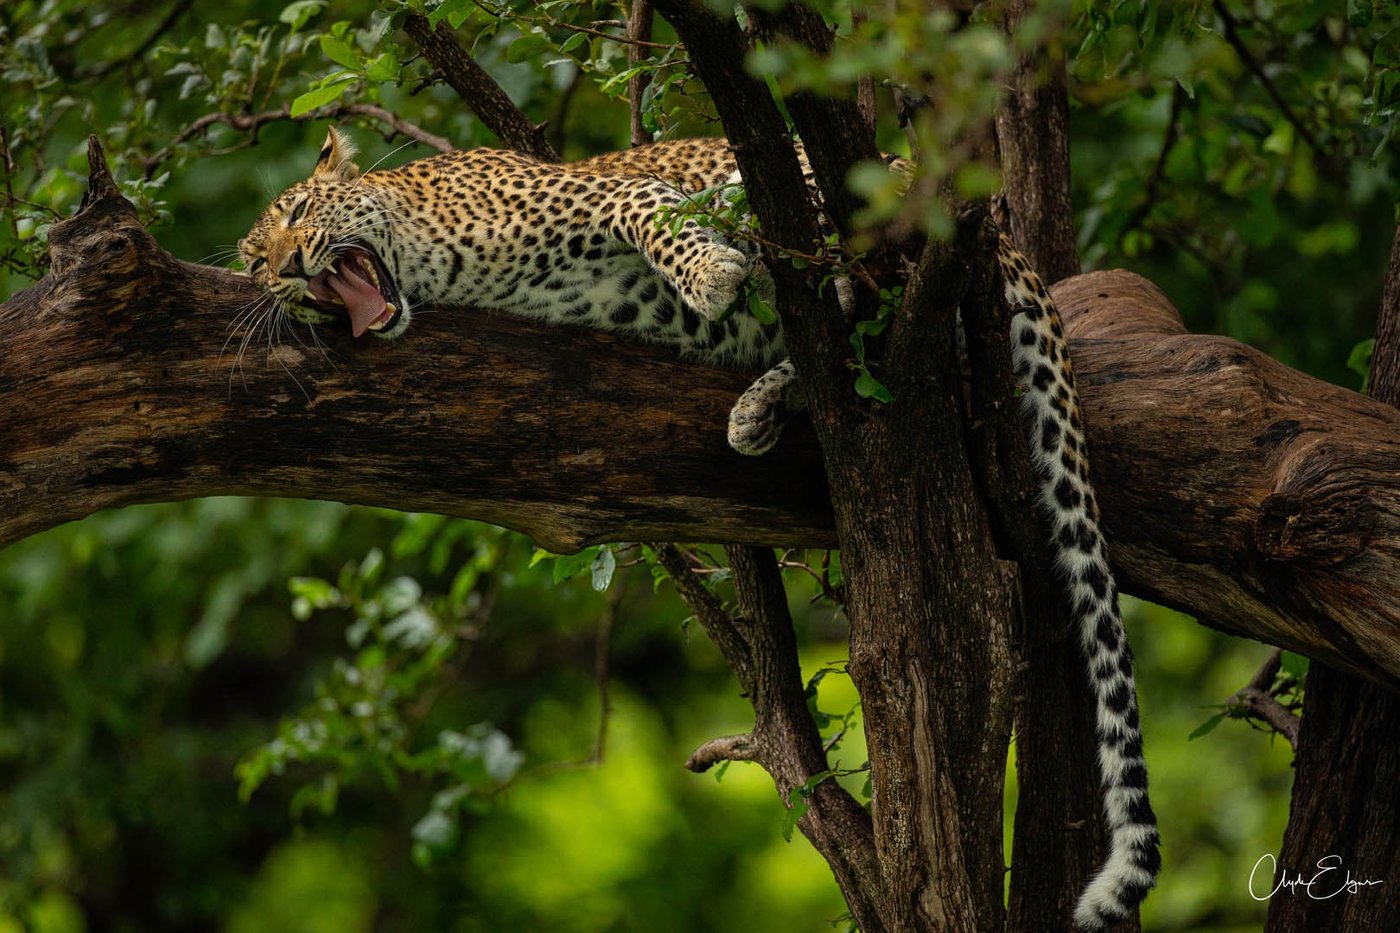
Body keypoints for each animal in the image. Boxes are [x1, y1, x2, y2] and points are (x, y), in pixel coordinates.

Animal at [239, 128, 1160, 930]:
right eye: (252, 261)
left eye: (297, 213)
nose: (282, 269)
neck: (427, 263)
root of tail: (1006, 240)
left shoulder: (594, 188)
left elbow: (656, 211)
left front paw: (713, 267)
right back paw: (760, 406)